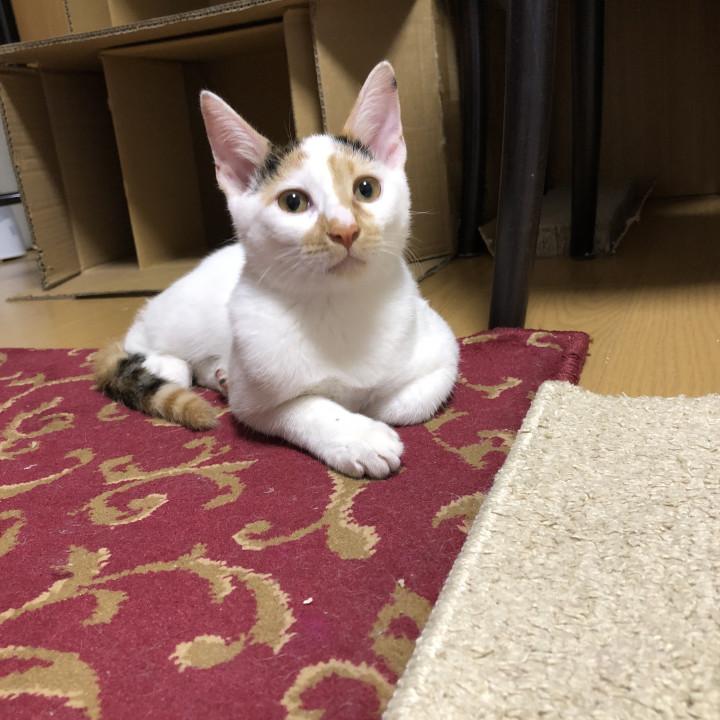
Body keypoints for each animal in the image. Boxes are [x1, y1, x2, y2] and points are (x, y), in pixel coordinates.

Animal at [94, 61, 458, 479]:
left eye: (366, 189)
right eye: (294, 202)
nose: (345, 230)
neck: (336, 305)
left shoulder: (443, 349)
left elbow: (407, 403)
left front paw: (370, 406)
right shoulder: (253, 400)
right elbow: (306, 407)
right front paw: (359, 436)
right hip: (181, 318)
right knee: (141, 338)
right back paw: (166, 363)